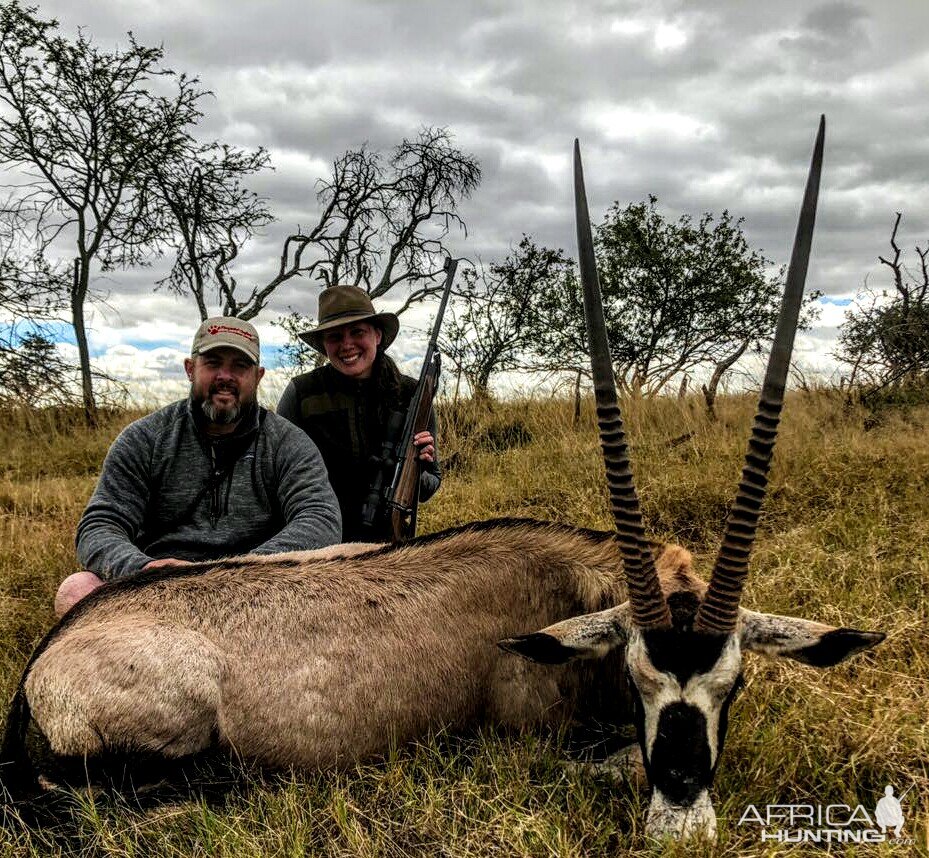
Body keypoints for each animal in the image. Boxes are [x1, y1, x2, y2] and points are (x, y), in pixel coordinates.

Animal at [0, 117, 880, 840]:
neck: (564, 590)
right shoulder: (532, 744)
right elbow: (612, 762)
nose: (680, 816)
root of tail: (44, 666)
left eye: (733, 683)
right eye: (636, 678)